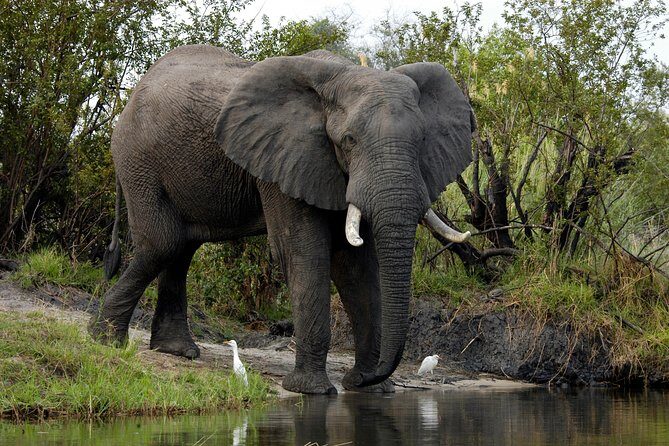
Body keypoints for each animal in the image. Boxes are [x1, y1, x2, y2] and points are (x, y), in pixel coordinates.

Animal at [88, 45, 474, 395]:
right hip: (138, 160)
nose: (362, 378)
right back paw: (104, 339)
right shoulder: (286, 159)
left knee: (181, 248)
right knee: (163, 243)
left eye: (421, 140)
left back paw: (175, 351)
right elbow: (303, 252)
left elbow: (356, 267)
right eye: (348, 140)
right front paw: (312, 390)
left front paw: (372, 390)